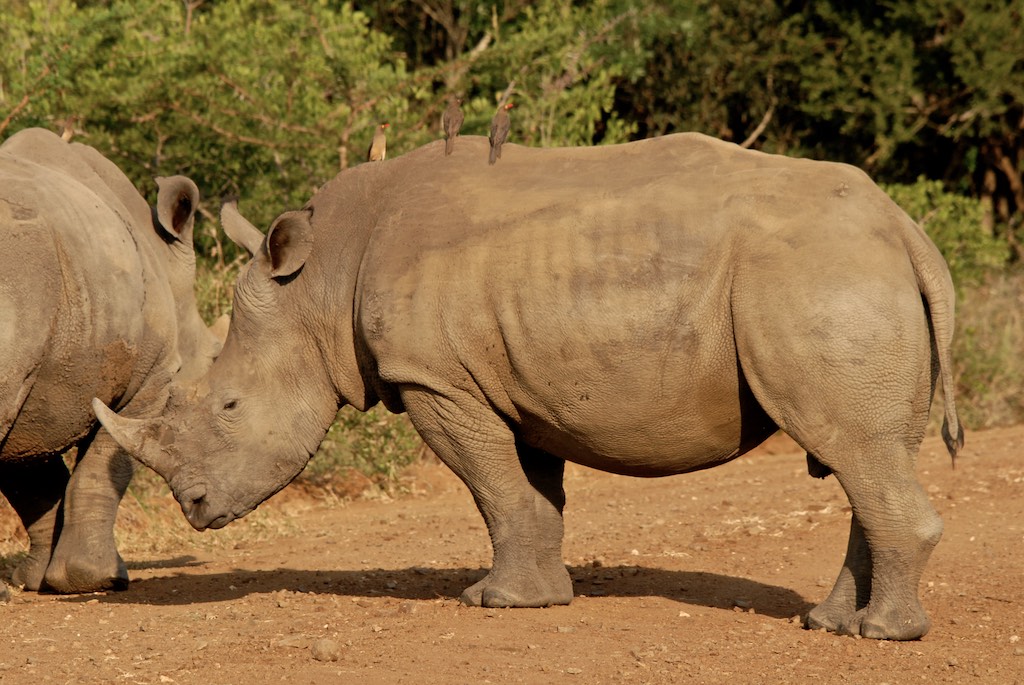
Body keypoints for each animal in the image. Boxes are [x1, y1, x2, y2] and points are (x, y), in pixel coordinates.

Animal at [1, 127, 221, 593]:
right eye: (215, 357)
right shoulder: (152, 380)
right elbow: (104, 470)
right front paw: (97, 578)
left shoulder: (37, 387)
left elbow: (35, 483)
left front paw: (37, 581)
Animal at [96, 133, 958, 643]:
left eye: (230, 406)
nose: (193, 508)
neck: (322, 280)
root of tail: (903, 225)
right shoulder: (517, 381)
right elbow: (531, 493)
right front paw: (540, 597)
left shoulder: (436, 379)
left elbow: (493, 488)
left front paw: (493, 603)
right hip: (850, 277)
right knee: (865, 453)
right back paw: (830, 623)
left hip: (819, 279)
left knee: (855, 450)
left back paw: (880, 634)